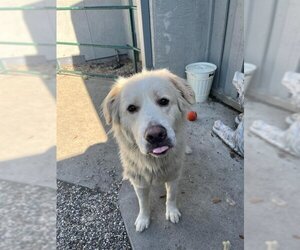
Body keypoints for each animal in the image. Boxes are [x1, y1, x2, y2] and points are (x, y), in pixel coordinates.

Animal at [102, 69, 196, 232]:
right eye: (131, 108)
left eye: (164, 101)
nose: (156, 135)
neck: (155, 162)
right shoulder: (139, 182)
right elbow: (143, 203)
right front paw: (143, 219)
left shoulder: (173, 175)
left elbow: (171, 196)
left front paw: (171, 211)